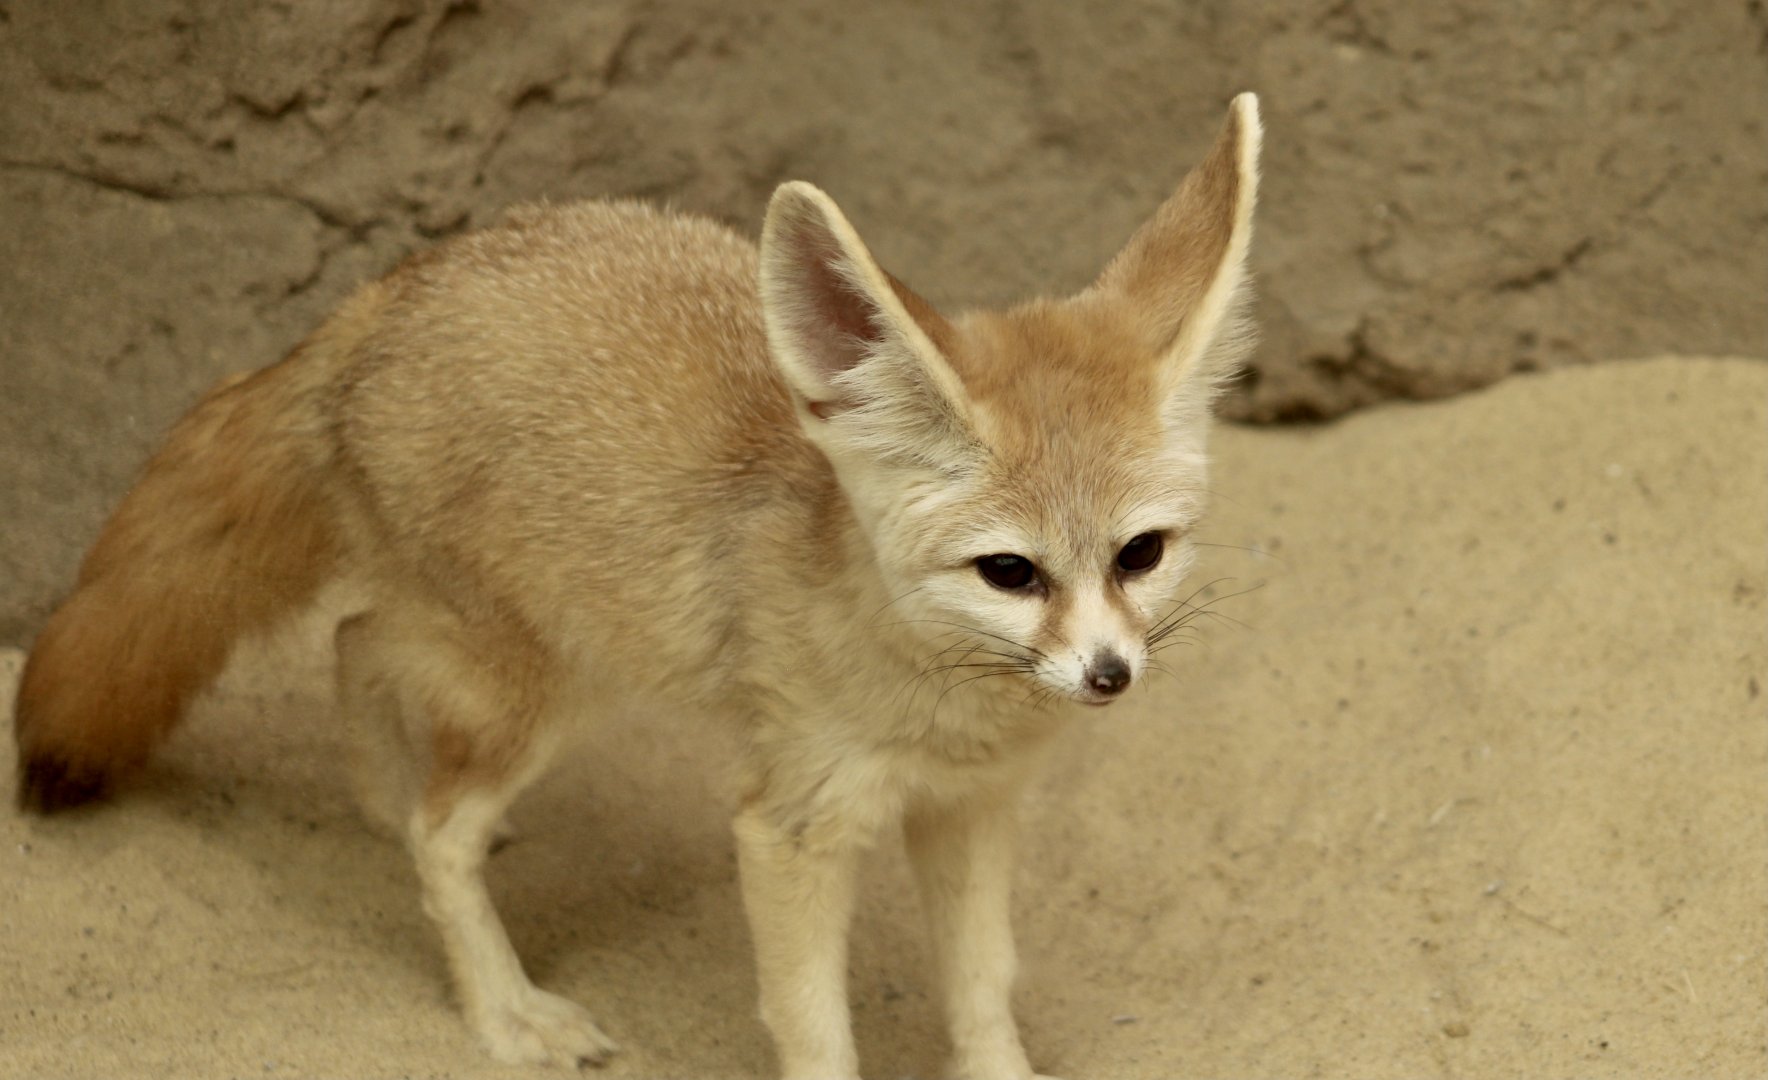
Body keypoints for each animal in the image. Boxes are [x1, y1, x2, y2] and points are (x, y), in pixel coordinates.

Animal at [12, 94, 1261, 1078]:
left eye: (1140, 554)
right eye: (1009, 571)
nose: (1109, 675)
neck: (945, 706)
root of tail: (380, 300)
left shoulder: (971, 809)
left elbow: (984, 992)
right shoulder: (790, 830)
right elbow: (814, 1027)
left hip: (554, 651)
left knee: (360, 642)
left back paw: (381, 796)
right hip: (549, 688)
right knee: (437, 827)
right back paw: (504, 1006)